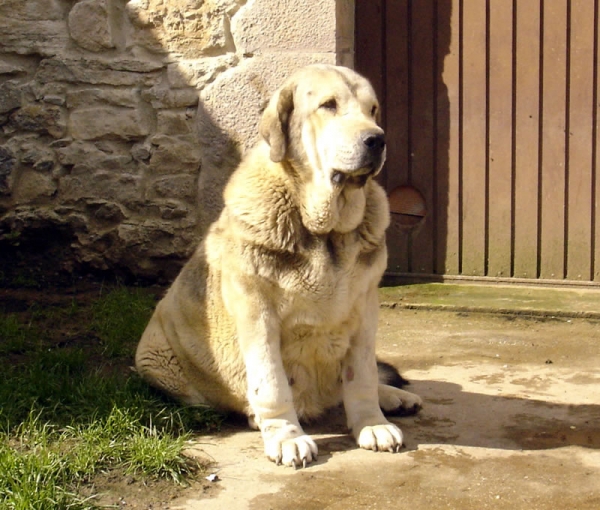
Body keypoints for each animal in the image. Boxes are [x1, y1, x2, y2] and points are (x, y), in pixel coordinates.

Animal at [137, 65, 422, 468]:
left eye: (373, 110)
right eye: (329, 105)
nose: (377, 140)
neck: (324, 230)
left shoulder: (365, 308)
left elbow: (362, 375)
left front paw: (372, 422)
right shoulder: (257, 312)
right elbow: (270, 384)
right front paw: (286, 436)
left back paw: (394, 397)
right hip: (157, 359)